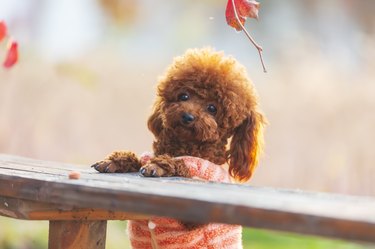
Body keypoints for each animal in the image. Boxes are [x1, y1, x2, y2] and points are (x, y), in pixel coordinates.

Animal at [92, 47, 266, 183]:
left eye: (212, 108)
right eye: (183, 96)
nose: (187, 117)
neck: (185, 146)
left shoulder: (197, 170)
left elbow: (181, 164)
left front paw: (159, 165)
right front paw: (114, 161)